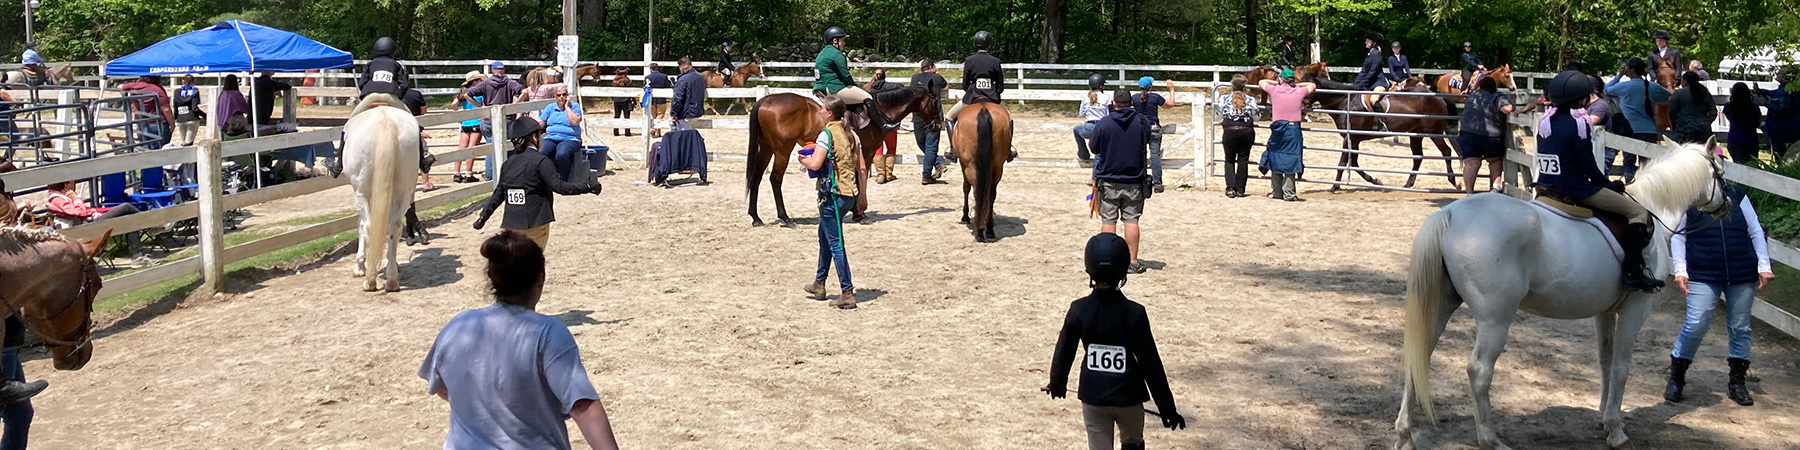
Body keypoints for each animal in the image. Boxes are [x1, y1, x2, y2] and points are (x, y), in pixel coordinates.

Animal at [342, 100, 422, 292]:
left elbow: (361, 226)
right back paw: (392, 279)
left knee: (369, 225)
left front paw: (360, 266)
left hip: (362, 191)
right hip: (402, 191)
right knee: (395, 226)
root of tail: (386, 121)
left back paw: (370, 280)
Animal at [744, 85, 941, 226]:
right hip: (782, 150)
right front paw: (859, 213)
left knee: (756, 177)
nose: (938, 125)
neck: (880, 111)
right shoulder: (867, 152)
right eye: (934, 101)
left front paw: (854, 211)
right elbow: (861, 180)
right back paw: (785, 217)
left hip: (767, 148)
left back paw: (756, 217)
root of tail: (765, 100)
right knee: (775, 179)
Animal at [950, 102, 1011, 242]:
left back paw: (979, 232)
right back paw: (989, 229)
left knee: (976, 191)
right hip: (997, 166)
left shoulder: (963, 165)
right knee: (991, 193)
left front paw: (965, 217)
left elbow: (965, 188)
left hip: (971, 166)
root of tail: (983, 109)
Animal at [1297, 64, 1461, 190]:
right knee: (1418, 157)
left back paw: (1454, 181)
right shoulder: (1354, 140)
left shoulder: (1349, 138)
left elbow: (1343, 163)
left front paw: (1334, 186)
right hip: (1416, 133)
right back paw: (1408, 184)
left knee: (1446, 151)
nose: (1301, 108)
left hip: (1433, 131)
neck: (1345, 102)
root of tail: (1437, 96)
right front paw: (1376, 181)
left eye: (1308, 87)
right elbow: (1354, 163)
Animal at [1393, 142, 1730, 450]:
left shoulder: (1604, 312)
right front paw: (1616, 430)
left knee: (1419, 357)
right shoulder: (1636, 307)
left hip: (1442, 305)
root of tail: (1450, 213)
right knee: (1479, 371)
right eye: (1721, 174)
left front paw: (1604, 417)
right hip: (1495, 320)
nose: (1726, 207)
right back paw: (1490, 440)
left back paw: (1405, 437)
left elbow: (1605, 361)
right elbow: (1621, 367)